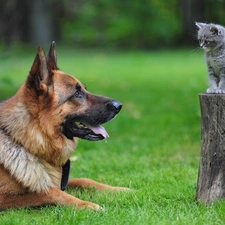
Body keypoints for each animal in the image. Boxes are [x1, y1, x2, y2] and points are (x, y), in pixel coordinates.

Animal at [0, 42, 127, 211]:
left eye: (84, 89)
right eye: (77, 94)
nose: (119, 106)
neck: (23, 141)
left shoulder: (63, 182)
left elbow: (84, 180)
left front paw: (120, 189)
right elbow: (48, 191)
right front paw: (87, 204)